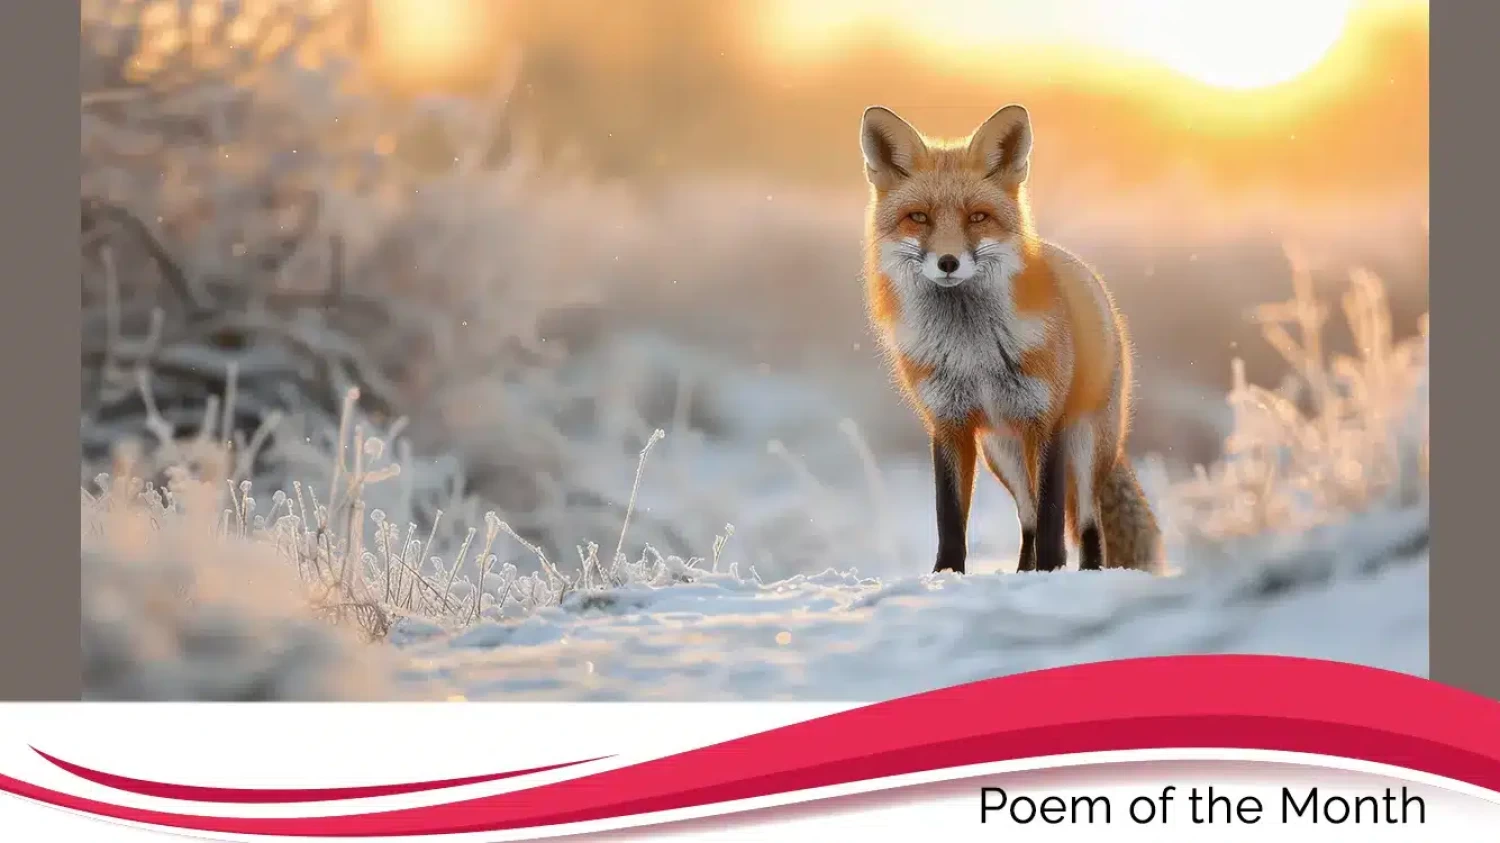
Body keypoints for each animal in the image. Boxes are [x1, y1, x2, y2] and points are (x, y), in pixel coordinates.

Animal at [858, 103, 1162, 575]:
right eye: (919, 217)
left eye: (978, 217)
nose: (948, 262)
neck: (972, 349)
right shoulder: (948, 424)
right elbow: (950, 518)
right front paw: (946, 576)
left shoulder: (1046, 421)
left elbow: (1055, 517)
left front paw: (1051, 573)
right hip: (1002, 452)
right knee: (1028, 516)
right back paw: (1023, 571)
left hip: (1085, 444)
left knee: (1087, 520)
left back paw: (1086, 572)